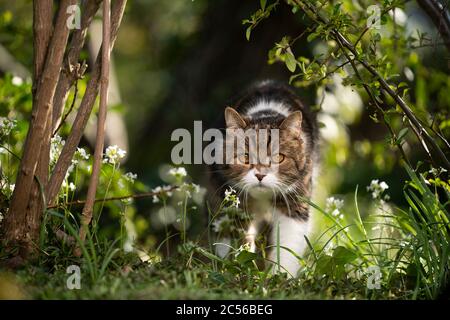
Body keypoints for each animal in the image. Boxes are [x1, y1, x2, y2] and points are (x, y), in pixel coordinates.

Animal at [208, 80, 320, 278]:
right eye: (245, 157)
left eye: (279, 158)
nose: (260, 175)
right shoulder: (232, 204)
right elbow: (235, 242)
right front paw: (236, 270)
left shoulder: (294, 204)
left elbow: (287, 248)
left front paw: (279, 277)